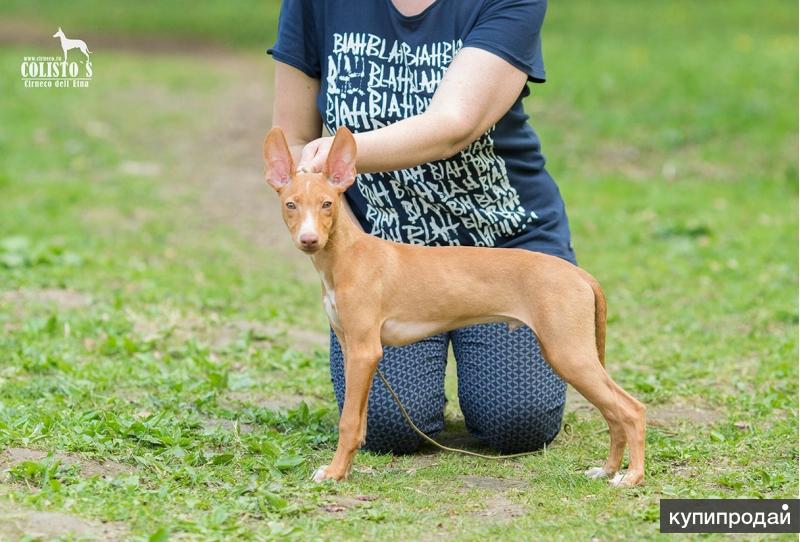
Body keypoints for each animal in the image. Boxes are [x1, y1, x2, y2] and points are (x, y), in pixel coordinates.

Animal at [260, 126, 648, 488]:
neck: (347, 257)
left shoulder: (364, 350)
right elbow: (359, 421)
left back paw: (631, 476)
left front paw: (335, 472)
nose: (309, 240)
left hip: (569, 353)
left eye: (327, 204)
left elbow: (347, 422)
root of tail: (579, 274)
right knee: (614, 413)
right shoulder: (354, 350)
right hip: (574, 355)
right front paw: (347, 469)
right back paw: (608, 469)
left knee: (631, 409)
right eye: (291, 204)